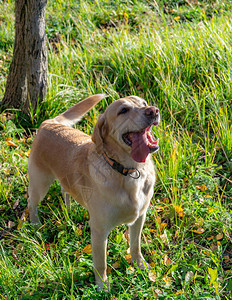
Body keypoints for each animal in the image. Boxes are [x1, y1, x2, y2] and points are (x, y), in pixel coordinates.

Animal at [27, 94, 160, 288]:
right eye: (123, 110)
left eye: (143, 103)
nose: (153, 110)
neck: (129, 171)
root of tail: (49, 122)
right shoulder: (98, 230)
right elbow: (100, 262)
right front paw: (102, 286)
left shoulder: (139, 218)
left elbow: (135, 246)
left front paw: (141, 266)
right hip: (40, 184)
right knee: (31, 203)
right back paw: (35, 224)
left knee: (65, 190)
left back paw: (69, 211)